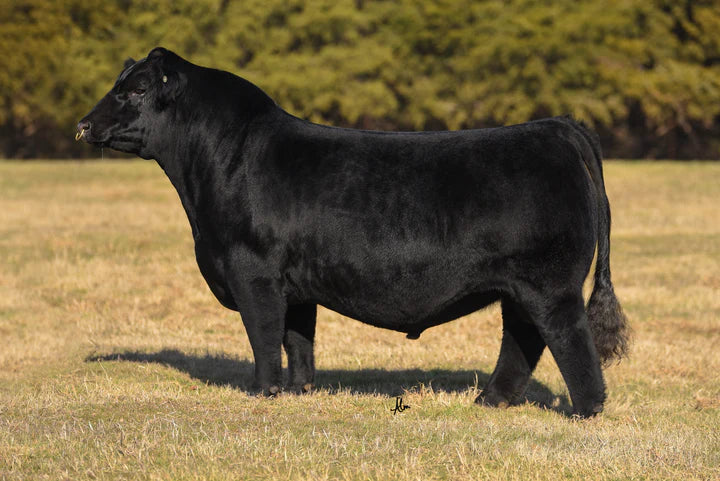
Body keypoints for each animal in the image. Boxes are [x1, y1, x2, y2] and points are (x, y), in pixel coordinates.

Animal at [76, 47, 629, 417]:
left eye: (137, 90)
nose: (84, 124)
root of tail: (555, 125)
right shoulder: (296, 282)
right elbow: (298, 339)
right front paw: (298, 390)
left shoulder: (251, 270)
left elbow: (263, 334)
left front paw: (263, 391)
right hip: (517, 288)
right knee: (522, 340)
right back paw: (489, 400)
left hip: (550, 284)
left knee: (570, 340)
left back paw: (585, 410)